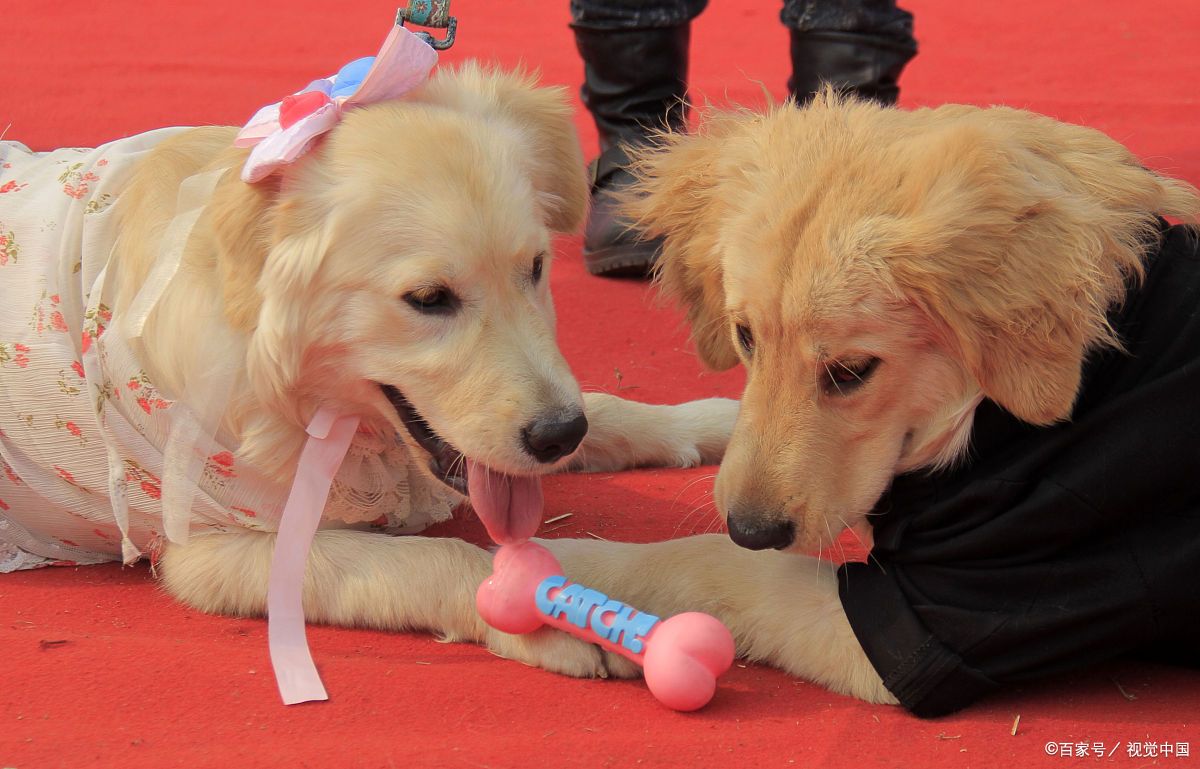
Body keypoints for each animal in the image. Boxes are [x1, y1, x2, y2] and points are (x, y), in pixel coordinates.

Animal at [0, 67, 734, 676]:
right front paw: (549, 616)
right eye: (429, 299)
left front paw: (715, 423)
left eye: (534, 267)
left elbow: (605, 406)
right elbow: (432, 559)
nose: (558, 435)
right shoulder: (214, 548)